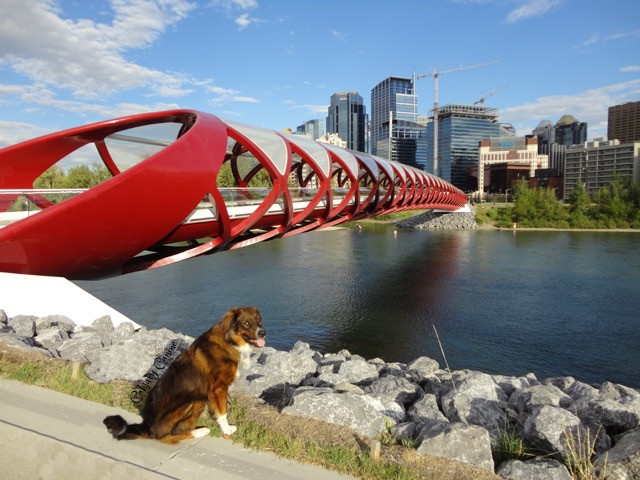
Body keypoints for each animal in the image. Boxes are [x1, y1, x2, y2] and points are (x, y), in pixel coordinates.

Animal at [105, 306, 264, 444]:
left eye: (259, 319)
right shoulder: (219, 388)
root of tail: (148, 427)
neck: (230, 340)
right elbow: (222, 413)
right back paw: (200, 431)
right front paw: (227, 430)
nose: (263, 332)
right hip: (195, 401)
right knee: (168, 437)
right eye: (246, 323)